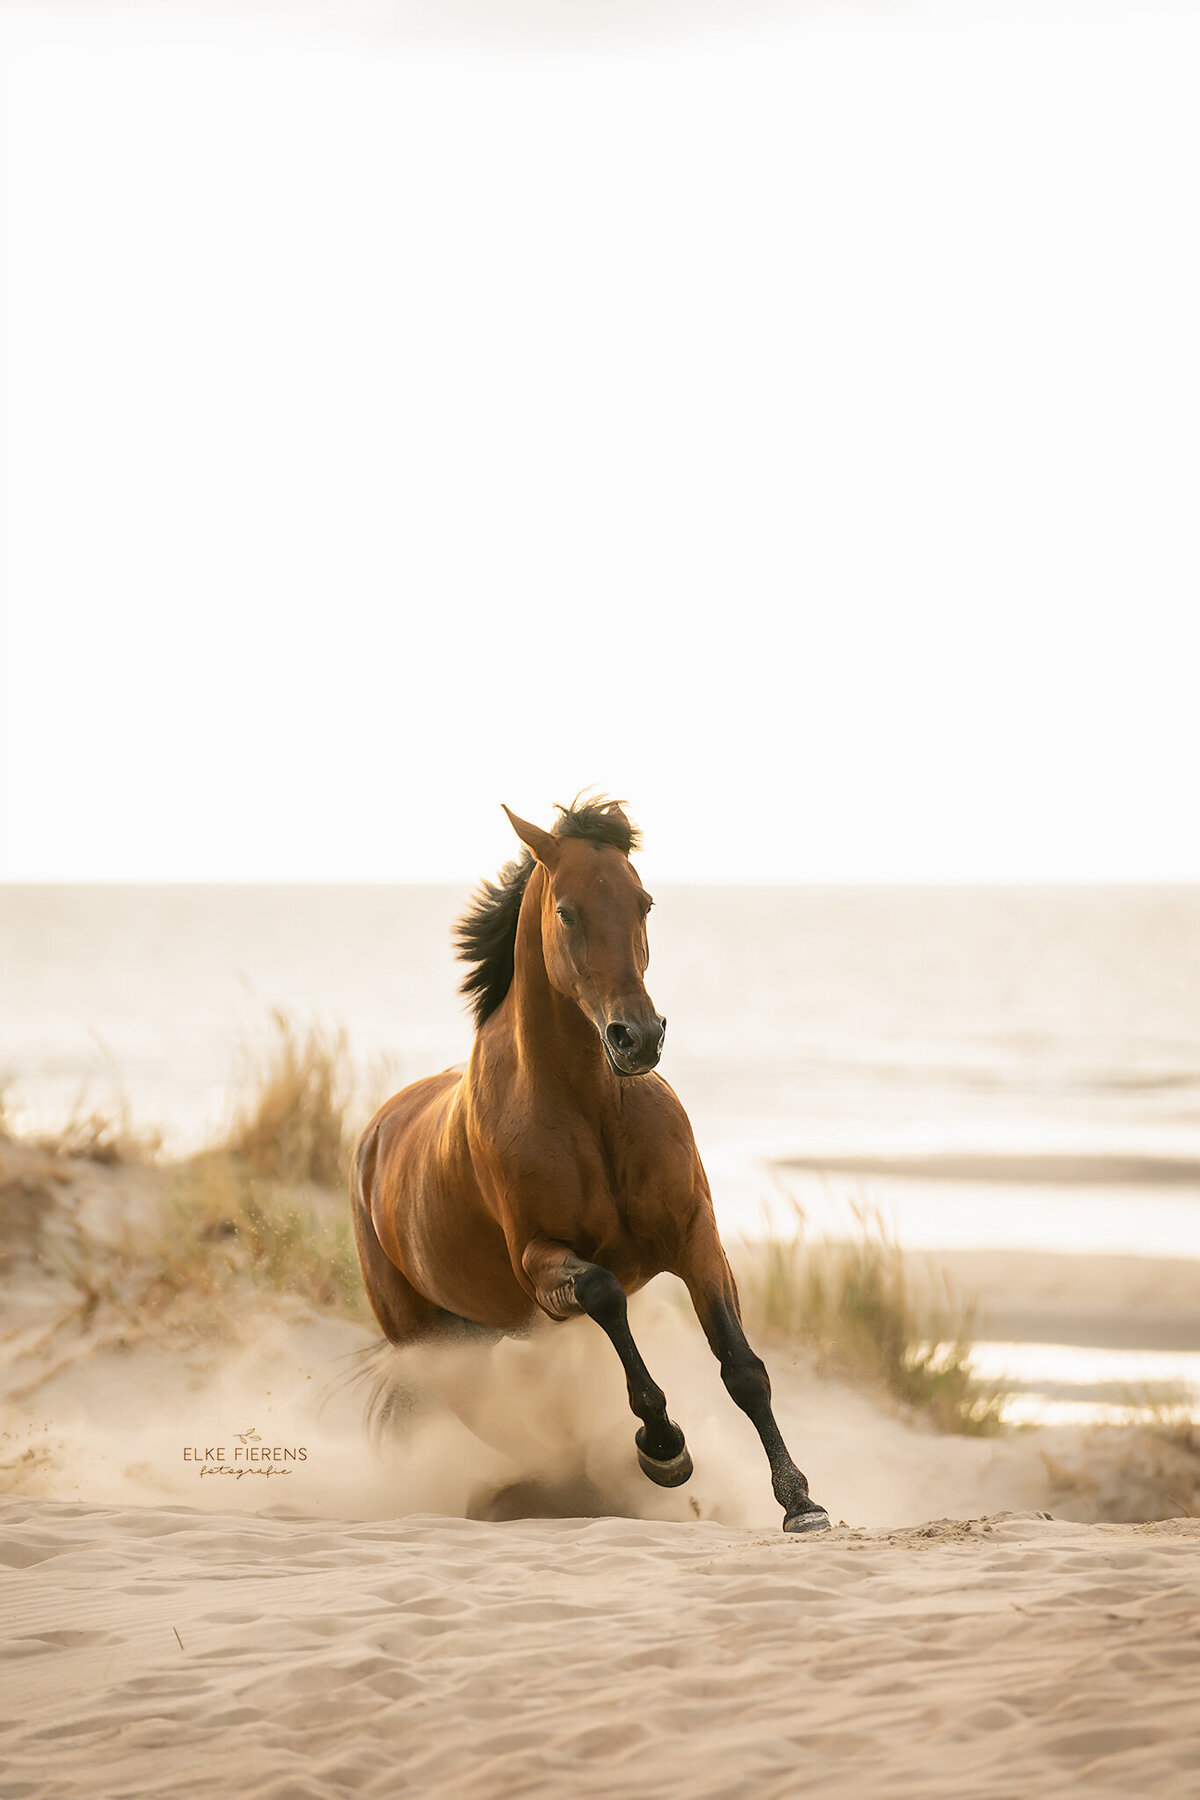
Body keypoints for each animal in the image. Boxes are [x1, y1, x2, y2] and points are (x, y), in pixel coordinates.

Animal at [352, 799, 831, 1533]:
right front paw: (664, 1450)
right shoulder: (540, 1261)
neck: (591, 1111)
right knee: (481, 1416)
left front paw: (801, 1503)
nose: (637, 1038)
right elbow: (606, 1293)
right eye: (567, 911)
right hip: (430, 1341)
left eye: (644, 903)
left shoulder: (696, 1236)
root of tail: (373, 1138)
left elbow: (743, 1369)